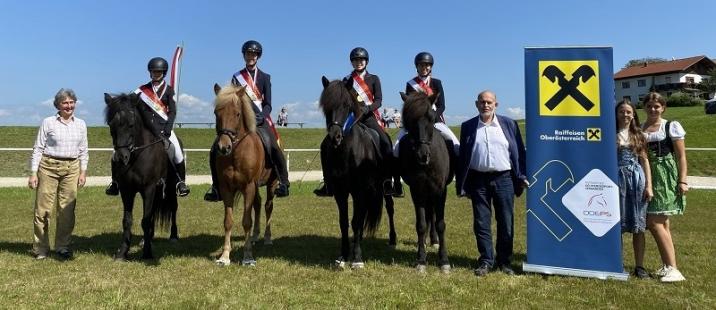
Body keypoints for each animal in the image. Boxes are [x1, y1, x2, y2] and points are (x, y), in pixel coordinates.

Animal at [105, 93, 180, 260]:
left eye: (131, 124)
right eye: (111, 124)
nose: (122, 158)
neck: (136, 155)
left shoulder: (149, 189)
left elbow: (145, 220)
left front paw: (147, 253)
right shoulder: (127, 190)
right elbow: (127, 220)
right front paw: (122, 252)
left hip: (170, 188)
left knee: (173, 207)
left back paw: (173, 236)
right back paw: (148, 238)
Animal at [213, 83, 276, 266]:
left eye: (237, 113)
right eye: (216, 113)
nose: (223, 147)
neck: (236, 153)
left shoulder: (248, 187)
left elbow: (246, 221)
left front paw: (247, 256)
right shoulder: (226, 188)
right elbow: (228, 222)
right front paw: (224, 256)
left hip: (272, 184)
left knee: (268, 206)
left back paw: (267, 238)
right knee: (258, 204)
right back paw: (255, 236)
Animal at [318, 76, 398, 268]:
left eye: (347, 105)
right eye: (326, 106)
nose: (335, 137)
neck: (346, 152)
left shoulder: (359, 191)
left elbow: (356, 221)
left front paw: (357, 258)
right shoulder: (340, 192)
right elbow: (344, 222)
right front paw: (343, 256)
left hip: (384, 186)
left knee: (389, 208)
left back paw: (392, 239)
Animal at [398, 91, 454, 272]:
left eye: (431, 117)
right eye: (409, 120)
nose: (423, 155)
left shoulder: (440, 190)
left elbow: (440, 223)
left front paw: (444, 261)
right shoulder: (417, 190)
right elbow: (421, 224)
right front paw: (421, 260)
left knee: (434, 215)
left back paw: (434, 241)